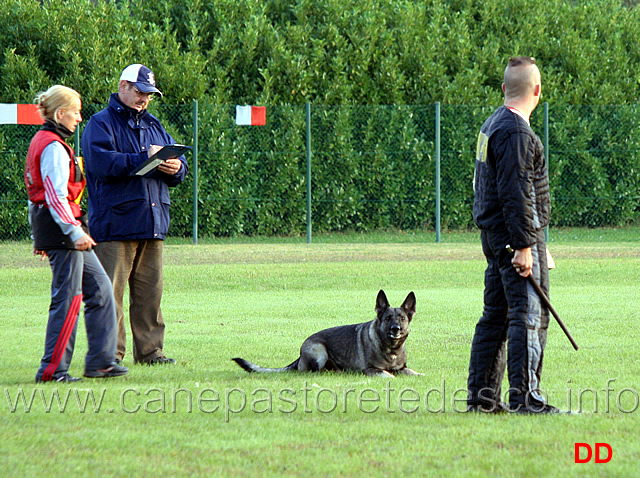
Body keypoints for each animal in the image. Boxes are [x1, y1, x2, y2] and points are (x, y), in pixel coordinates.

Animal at [232, 292, 422, 378]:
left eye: (402, 318)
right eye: (388, 318)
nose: (396, 329)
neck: (391, 349)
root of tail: (300, 353)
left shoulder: (403, 368)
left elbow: (414, 372)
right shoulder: (371, 369)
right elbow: (389, 375)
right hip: (320, 352)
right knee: (312, 372)